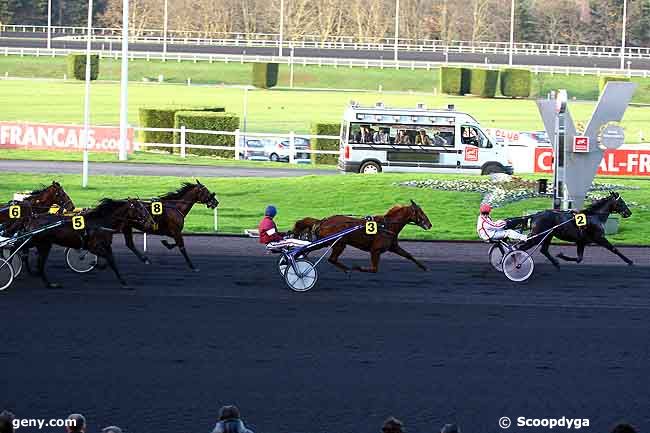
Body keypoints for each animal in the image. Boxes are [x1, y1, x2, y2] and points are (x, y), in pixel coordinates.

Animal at [9, 198, 154, 286]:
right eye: (140, 209)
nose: (151, 222)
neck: (101, 222)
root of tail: (31, 218)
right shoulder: (93, 246)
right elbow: (108, 259)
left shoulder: (106, 245)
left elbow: (111, 260)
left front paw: (121, 279)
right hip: (38, 241)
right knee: (18, 248)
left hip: (41, 243)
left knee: (30, 256)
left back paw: (44, 281)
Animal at [290, 200, 430, 274]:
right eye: (421, 213)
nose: (430, 224)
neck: (387, 226)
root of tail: (324, 220)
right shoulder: (375, 250)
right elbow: (374, 268)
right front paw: (358, 267)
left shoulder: (393, 247)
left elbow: (408, 255)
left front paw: (424, 267)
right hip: (338, 243)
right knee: (331, 258)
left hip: (329, 242)